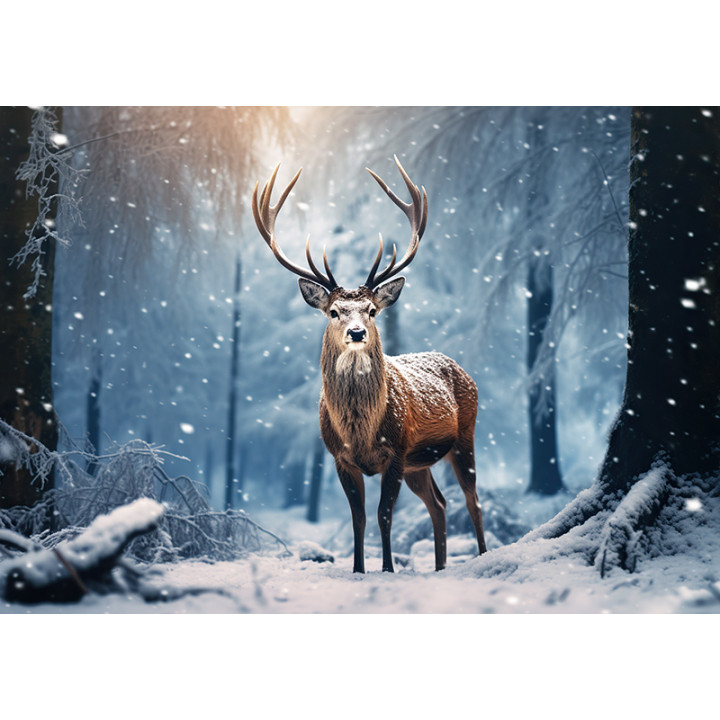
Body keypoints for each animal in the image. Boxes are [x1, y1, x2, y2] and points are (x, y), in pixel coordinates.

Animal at [252, 155, 487, 573]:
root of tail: (461, 369)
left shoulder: (395, 451)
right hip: (419, 464)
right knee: (439, 503)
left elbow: (384, 515)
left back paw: (481, 556)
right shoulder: (341, 458)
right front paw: (360, 569)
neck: (361, 431)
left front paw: (388, 569)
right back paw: (440, 566)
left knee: (473, 500)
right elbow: (358, 518)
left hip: (464, 436)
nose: (358, 332)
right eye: (333, 311)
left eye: (372, 310)